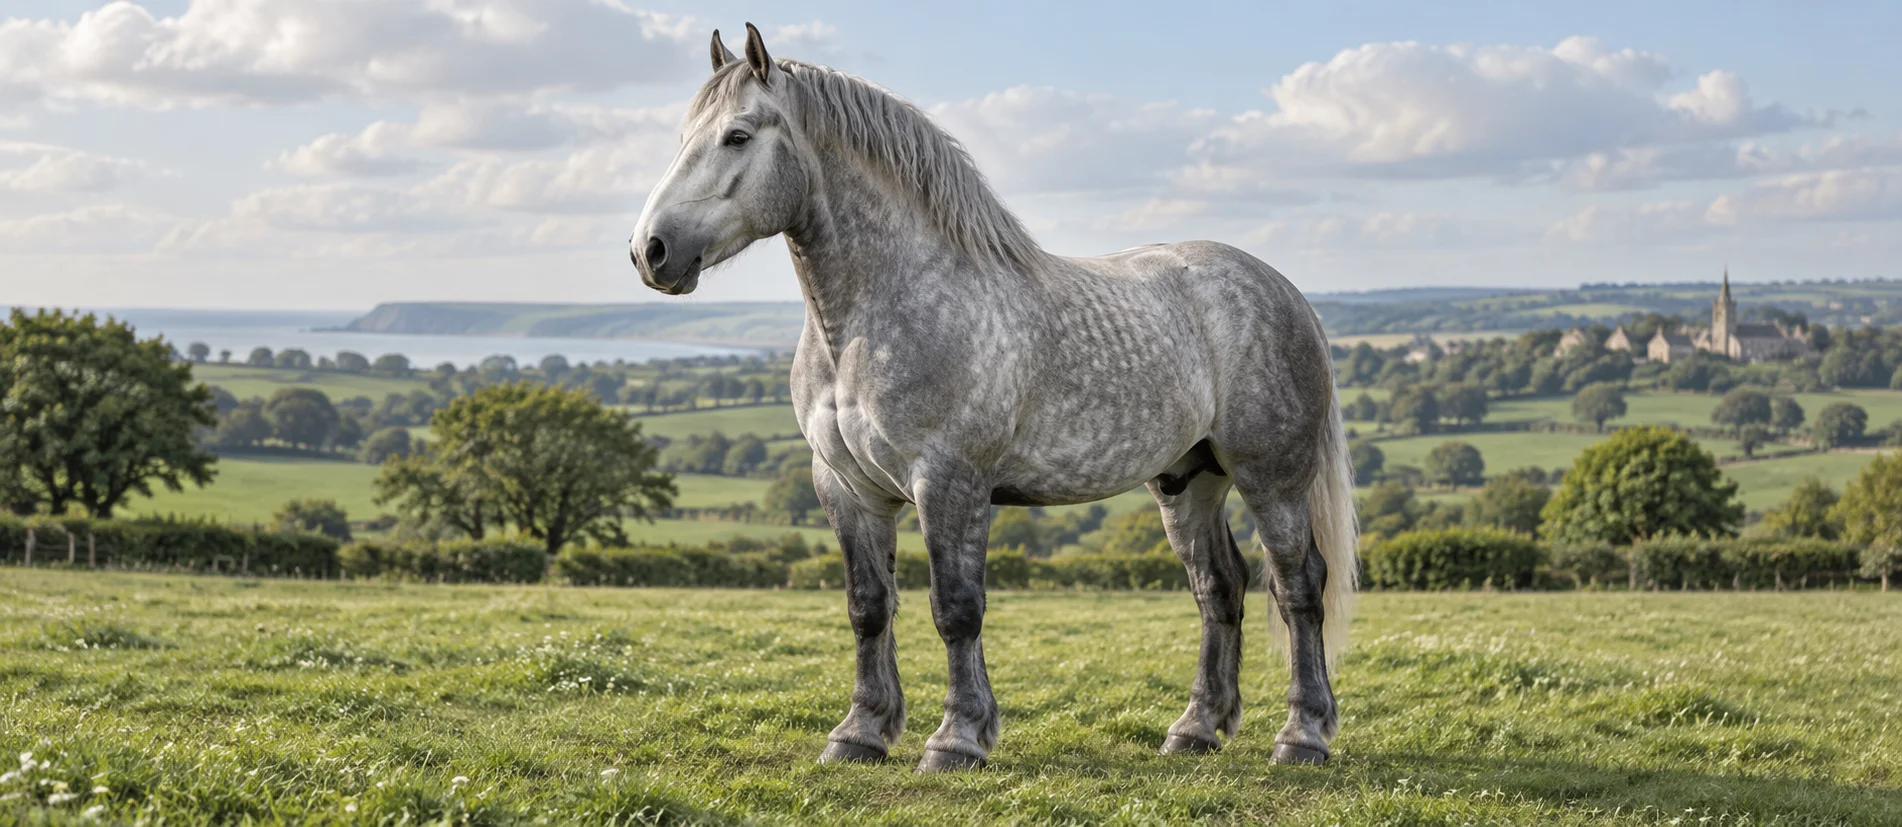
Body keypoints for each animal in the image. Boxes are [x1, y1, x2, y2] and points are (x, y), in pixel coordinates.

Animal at [630, 24, 1357, 772]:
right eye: (684, 136)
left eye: (737, 135)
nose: (650, 251)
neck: (872, 320)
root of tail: (1283, 289)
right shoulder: (845, 486)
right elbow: (868, 607)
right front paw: (860, 732)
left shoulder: (949, 480)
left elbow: (956, 608)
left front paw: (957, 739)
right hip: (1188, 477)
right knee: (1219, 588)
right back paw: (1196, 729)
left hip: (1270, 476)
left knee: (1299, 585)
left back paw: (1302, 735)